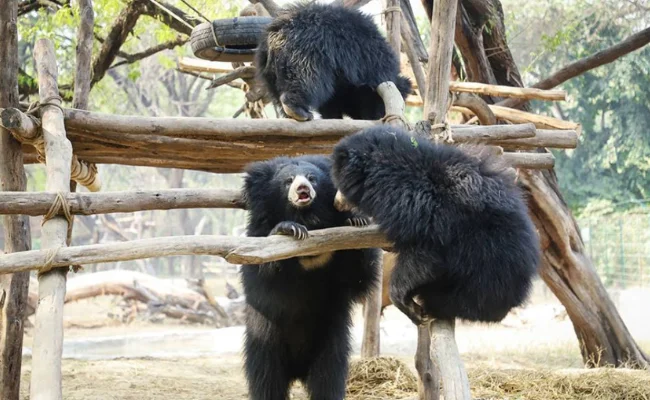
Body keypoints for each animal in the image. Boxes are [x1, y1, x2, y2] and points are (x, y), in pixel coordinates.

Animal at [240, 154, 381, 400]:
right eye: (288, 181)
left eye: (312, 178)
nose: (302, 188)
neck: (307, 218)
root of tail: (297, 371)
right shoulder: (257, 237)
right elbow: (262, 270)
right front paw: (288, 229)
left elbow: (357, 277)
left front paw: (356, 221)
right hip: (264, 341)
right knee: (266, 380)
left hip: (330, 341)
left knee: (328, 380)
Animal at [254, 2, 412, 121]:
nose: (380, 117)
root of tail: (276, 33)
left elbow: (331, 102)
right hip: (307, 52)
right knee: (308, 80)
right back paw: (299, 111)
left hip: (269, 69)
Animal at [330, 125, 540, 325]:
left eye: (340, 186)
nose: (336, 203)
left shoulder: (423, 214)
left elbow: (422, 260)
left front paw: (407, 304)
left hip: (486, 266)